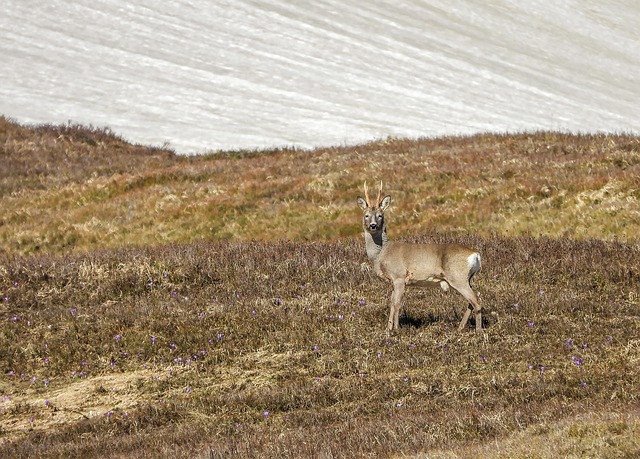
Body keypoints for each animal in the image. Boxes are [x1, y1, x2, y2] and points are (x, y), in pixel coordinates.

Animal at [358, 182, 482, 334]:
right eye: (366, 215)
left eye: (380, 215)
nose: (373, 225)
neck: (382, 252)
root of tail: (475, 254)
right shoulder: (393, 281)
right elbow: (392, 303)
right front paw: (388, 329)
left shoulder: (399, 277)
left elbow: (397, 303)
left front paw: (396, 329)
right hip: (466, 278)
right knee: (471, 302)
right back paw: (460, 328)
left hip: (458, 277)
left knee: (476, 301)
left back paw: (478, 331)